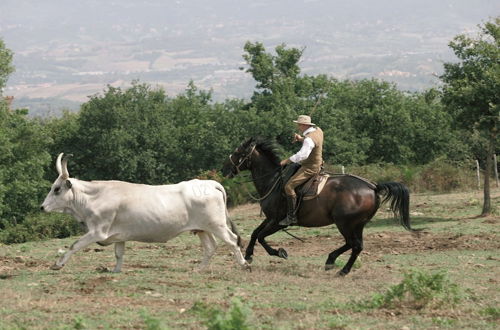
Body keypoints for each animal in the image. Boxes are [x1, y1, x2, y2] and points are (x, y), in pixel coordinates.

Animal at [40, 153, 250, 272]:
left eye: (57, 189)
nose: (42, 207)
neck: (95, 197)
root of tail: (209, 183)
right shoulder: (119, 236)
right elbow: (119, 254)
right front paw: (115, 271)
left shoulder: (97, 232)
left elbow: (74, 245)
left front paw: (58, 264)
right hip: (202, 229)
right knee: (210, 247)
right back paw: (199, 269)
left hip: (217, 225)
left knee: (232, 241)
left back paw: (243, 265)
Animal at [221, 137, 412, 276]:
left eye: (238, 152)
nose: (224, 169)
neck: (273, 181)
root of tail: (373, 187)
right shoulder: (270, 218)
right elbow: (255, 233)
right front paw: (248, 255)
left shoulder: (277, 221)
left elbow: (261, 237)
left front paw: (280, 252)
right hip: (358, 225)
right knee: (355, 245)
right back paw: (332, 261)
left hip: (345, 223)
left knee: (354, 244)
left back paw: (341, 269)